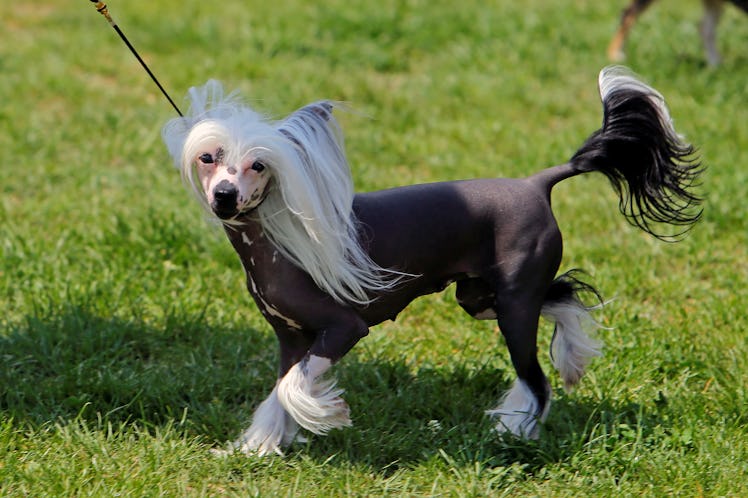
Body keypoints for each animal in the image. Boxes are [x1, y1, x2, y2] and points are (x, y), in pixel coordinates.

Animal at [162, 68, 700, 458]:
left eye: (258, 165)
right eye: (208, 158)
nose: (225, 196)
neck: (274, 242)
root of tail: (536, 183)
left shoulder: (342, 329)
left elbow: (294, 387)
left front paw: (324, 415)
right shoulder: (291, 338)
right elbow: (279, 392)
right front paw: (256, 448)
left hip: (513, 306)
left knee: (537, 380)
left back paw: (513, 432)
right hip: (481, 297)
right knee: (565, 299)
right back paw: (573, 357)